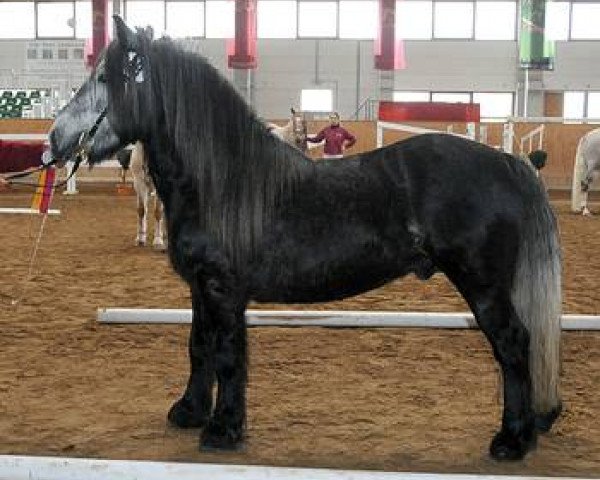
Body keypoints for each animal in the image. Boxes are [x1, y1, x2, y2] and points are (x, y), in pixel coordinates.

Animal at [50, 16, 564, 462]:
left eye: (104, 78)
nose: (54, 139)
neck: (221, 181)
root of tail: (506, 162)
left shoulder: (223, 290)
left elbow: (228, 355)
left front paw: (223, 430)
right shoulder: (199, 287)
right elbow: (199, 346)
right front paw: (189, 412)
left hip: (484, 287)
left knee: (513, 345)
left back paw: (512, 440)